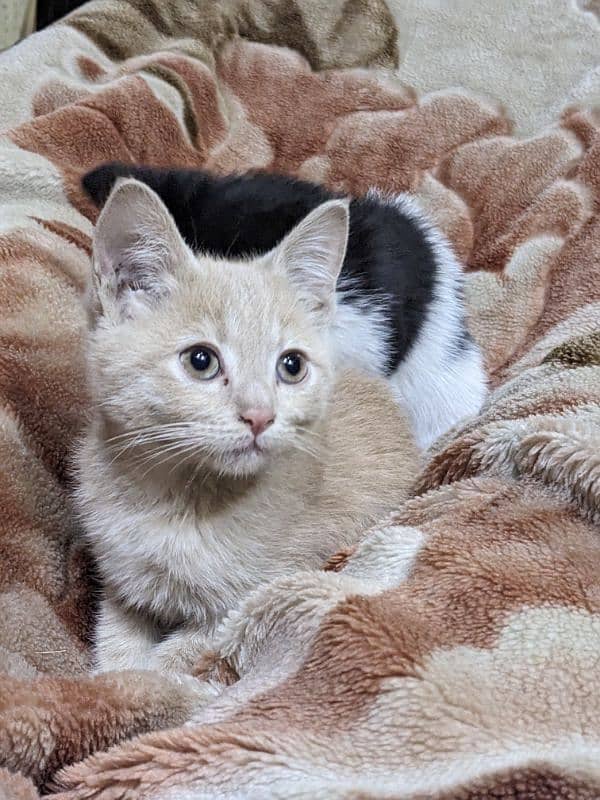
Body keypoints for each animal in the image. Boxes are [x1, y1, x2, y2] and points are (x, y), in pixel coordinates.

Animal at [76, 178, 418, 672]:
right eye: (201, 360)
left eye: (292, 366)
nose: (260, 415)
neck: (177, 502)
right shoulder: (121, 583)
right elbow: (116, 644)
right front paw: (112, 676)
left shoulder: (250, 598)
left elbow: (171, 661)